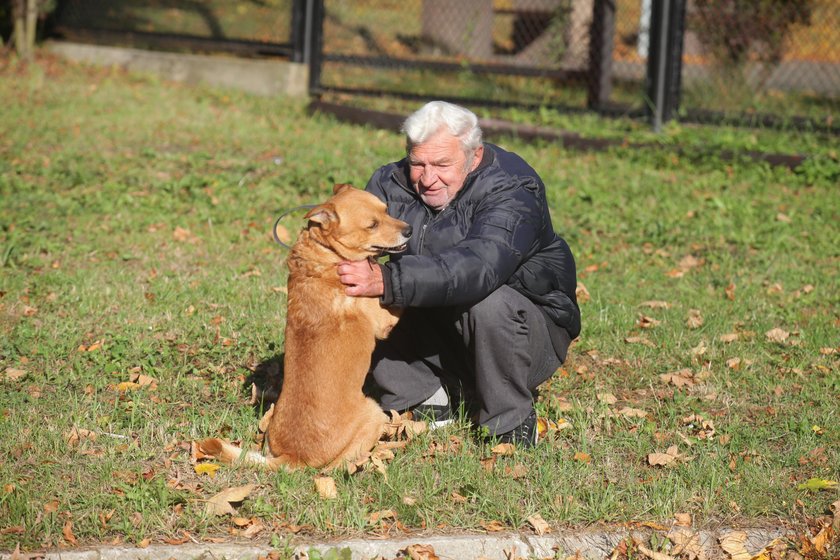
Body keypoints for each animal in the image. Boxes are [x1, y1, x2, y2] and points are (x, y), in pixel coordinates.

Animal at [200, 184, 410, 468]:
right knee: (340, 465)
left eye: (387, 210)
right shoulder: (385, 319)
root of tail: (292, 458)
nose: (410, 229)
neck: (329, 253)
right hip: (373, 411)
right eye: (372, 225)